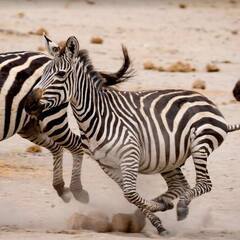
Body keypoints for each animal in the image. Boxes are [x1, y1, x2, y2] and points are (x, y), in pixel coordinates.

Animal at [0, 47, 131, 202]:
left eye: (61, 74)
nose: (29, 103)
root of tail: (46, 55)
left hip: (52, 118)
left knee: (75, 144)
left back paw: (76, 189)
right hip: (28, 126)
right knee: (57, 146)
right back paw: (60, 185)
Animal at [24, 35, 240, 234]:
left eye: (61, 74)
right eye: (43, 73)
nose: (29, 104)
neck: (96, 116)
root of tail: (208, 102)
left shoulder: (130, 155)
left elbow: (130, 194)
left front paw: (156, 208)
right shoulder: (107, 164)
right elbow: (131, 196)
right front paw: (157, 220)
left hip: (200, 143)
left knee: (204, 183)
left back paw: (180, 206)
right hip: (168, 157)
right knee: (180, 187)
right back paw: (170, 206)